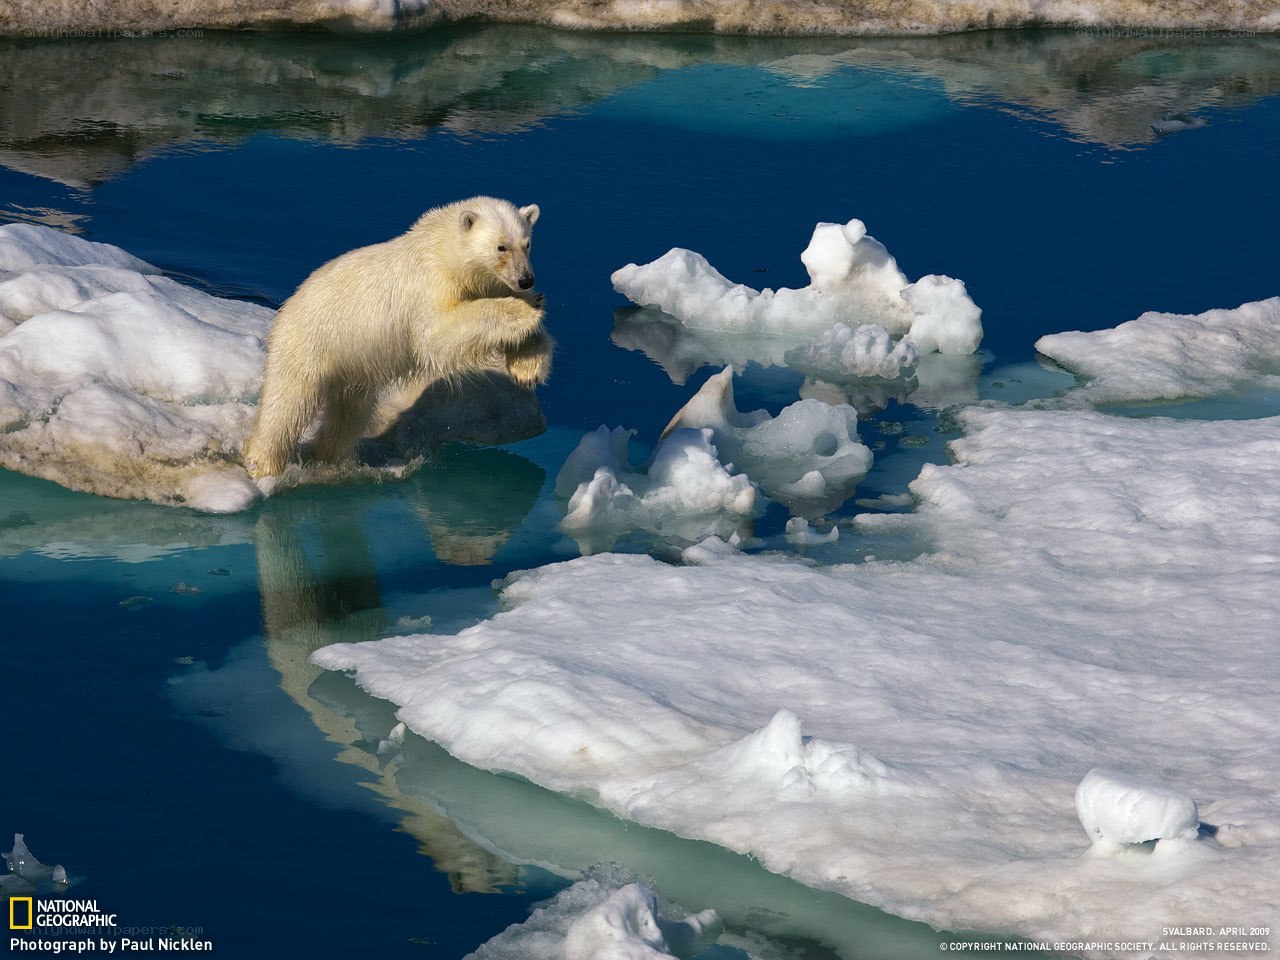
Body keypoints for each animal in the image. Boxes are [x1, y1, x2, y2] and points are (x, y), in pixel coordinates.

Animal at [243, 196, 552, 479]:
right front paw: (527, 307)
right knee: (286, 406)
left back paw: (332, 458)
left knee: (349, 413)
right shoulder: (430, 284)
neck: (442, 249)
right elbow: (439, 334)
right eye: (501, 246)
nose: (526, 279)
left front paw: (527, 368)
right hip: (307, 344)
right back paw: (263, 464)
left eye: (527, 244)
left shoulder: (485, 283)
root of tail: (287, 308)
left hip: (352, 366)